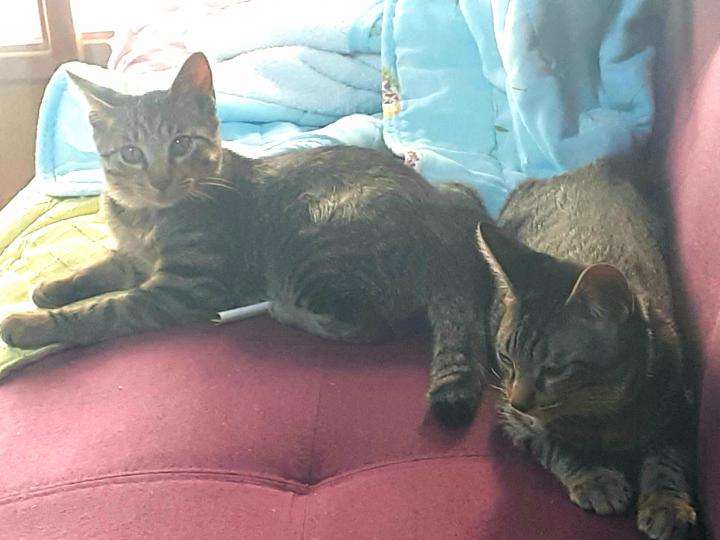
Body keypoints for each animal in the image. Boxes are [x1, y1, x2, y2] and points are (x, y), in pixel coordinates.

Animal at [0, 53, 493, 426]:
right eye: (131, 153)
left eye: (180, 144)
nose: (160, 180)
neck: (145, 218)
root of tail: (447, 238)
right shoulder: (133, 256)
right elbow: (102, 267)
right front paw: (52, 287)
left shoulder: (183, 287)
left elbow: (103, 310)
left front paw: (29, 323)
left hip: (313, 254)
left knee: (372, 326)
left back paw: (285, 311)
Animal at [476, 160, 697, 540]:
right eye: (506, 358)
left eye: (553, 369)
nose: (520, 401)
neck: (602, 409)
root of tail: (594, 167)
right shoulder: (511, 417)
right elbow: (555, 444)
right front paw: (595, 478)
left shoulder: (680, 406)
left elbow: (667, 458)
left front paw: (667, 503)